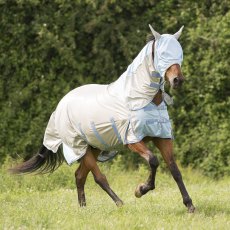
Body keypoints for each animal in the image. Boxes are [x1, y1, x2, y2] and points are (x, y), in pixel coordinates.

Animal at [9, 24, 195, 213]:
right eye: (162, 54)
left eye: (179, 53)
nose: (178, 80)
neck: (142, 99)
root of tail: (59, 106)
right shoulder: (133, 140)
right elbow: (153, 160)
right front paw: (140, 190)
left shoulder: (162, 138)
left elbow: (174, 169)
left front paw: (189, 205)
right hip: (79, 147)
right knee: (98, 177)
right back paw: (119, 203)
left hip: (94, 147)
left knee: (79, 175)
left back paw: (83, 208)